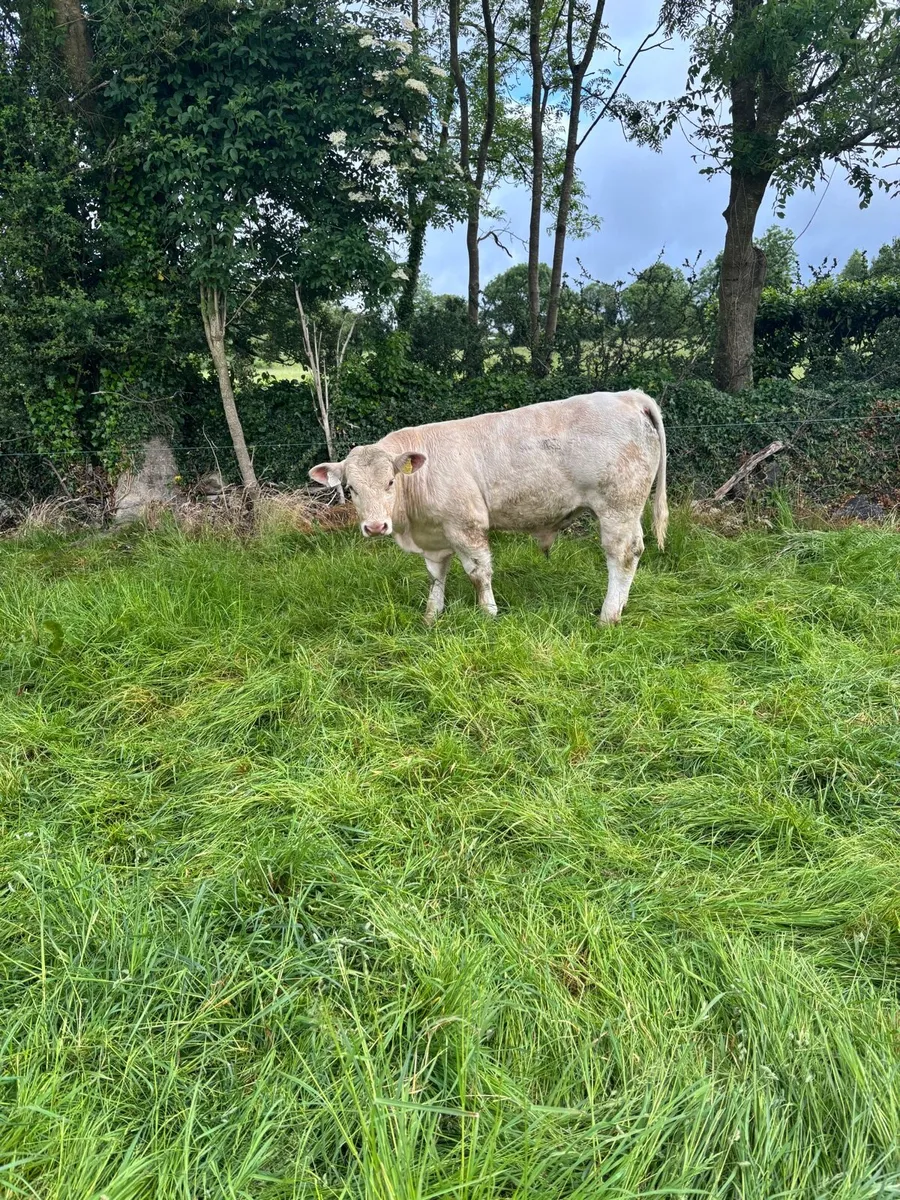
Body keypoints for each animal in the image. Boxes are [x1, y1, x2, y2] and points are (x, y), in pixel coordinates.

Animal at [309, 389, 667, 625]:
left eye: (390, 482)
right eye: (351, 489)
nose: (375, 527)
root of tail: (630, 396)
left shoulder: (466, 525)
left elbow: (478, 573)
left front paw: (487, 613)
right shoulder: (435, 537)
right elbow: (436, 576)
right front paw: (431, 615)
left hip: (617, 506)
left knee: (623, 554)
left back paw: (608, 615)